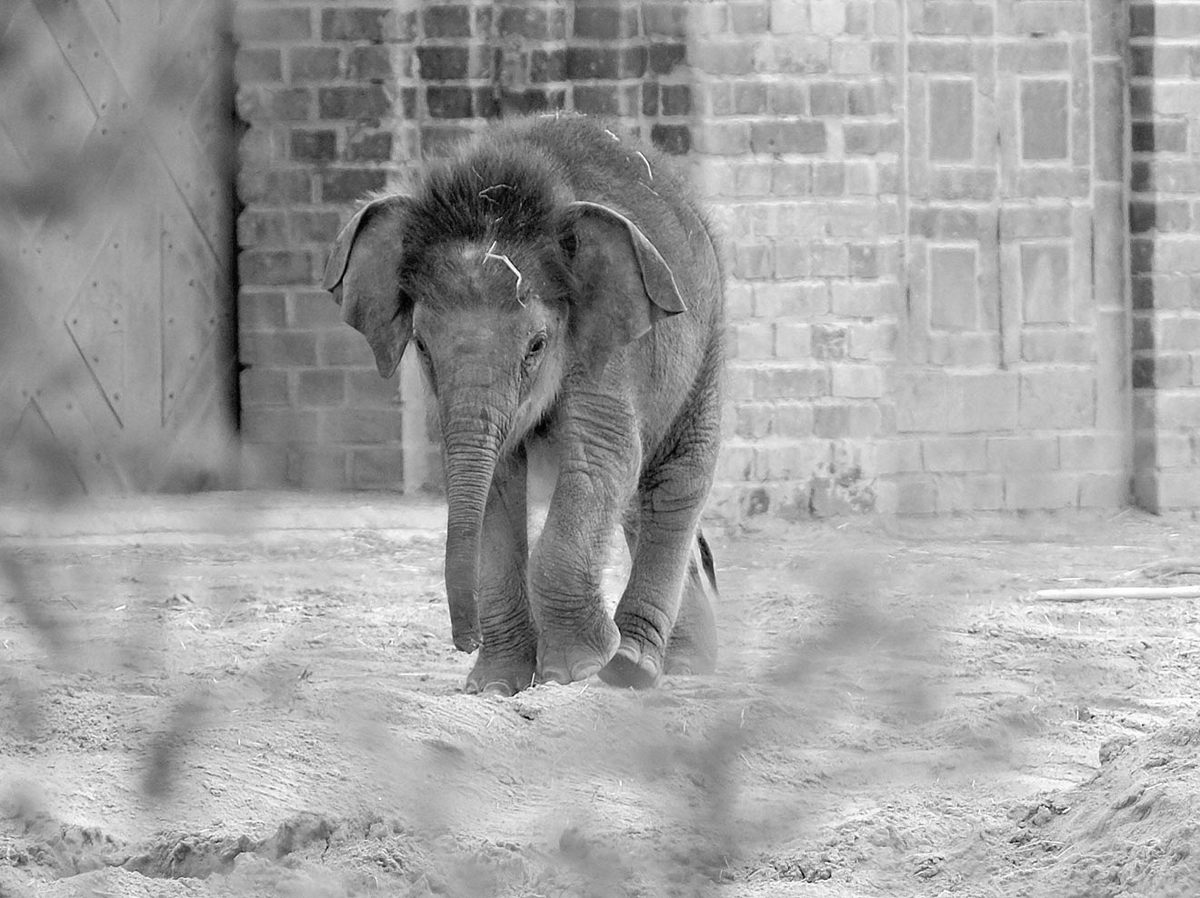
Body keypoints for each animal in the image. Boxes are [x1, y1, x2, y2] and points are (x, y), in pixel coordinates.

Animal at [319, 115, 724, 696]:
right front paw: (494, 686)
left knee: (672, 484)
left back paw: (640, 666)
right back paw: (676, 662)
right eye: (421, 345)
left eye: (537, 345)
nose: (464, 640)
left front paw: (578, 669)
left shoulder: (605, 351)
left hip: (707, 344)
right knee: (635, 504)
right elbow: (494, 484)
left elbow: (601, 461)